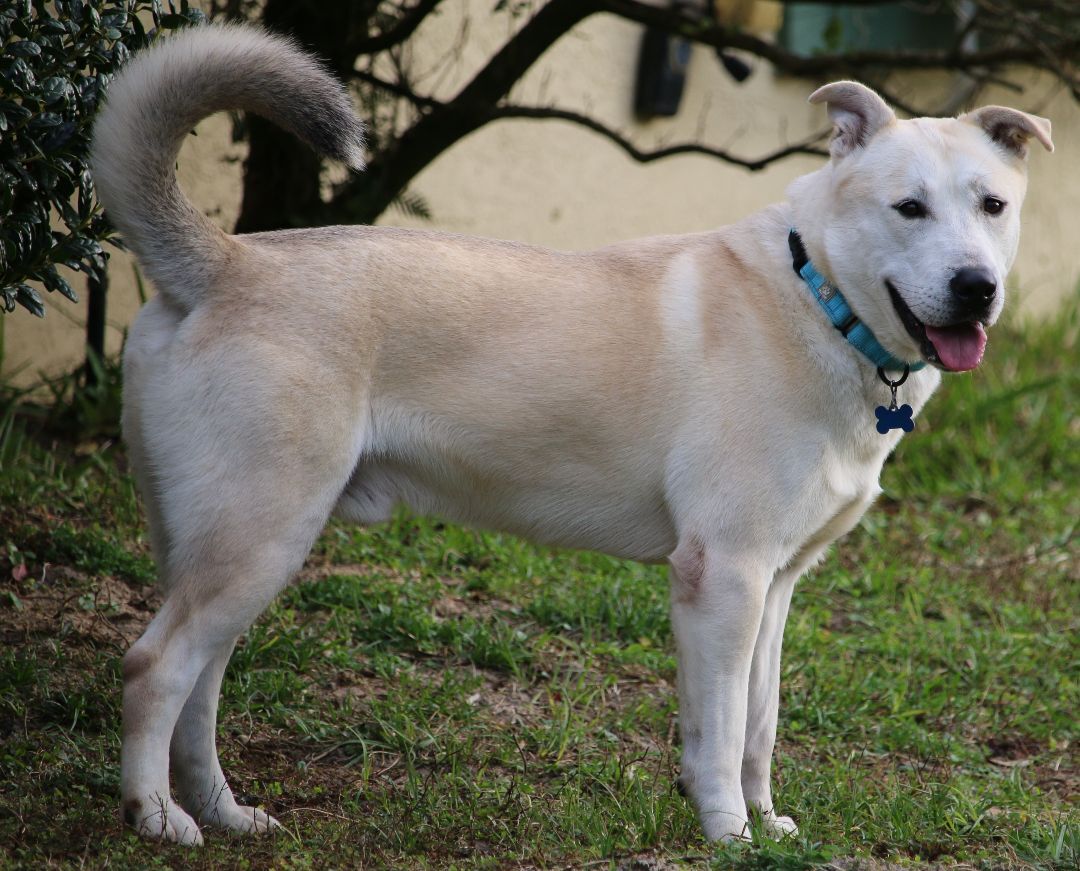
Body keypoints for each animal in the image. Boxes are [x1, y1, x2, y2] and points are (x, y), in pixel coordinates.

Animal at [88, 23, 1049, 847]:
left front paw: (764, 823)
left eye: (994, 205)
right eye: (908, 208)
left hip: (228, 546)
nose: (977, 288)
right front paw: (728, 834)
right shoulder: (723, 576)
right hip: (260, 537)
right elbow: (721, 730)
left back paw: (224, 812)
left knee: (199, 687)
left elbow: (756, 725)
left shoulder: (773, 588)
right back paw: (156, 816)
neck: (817, 297)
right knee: (153, 667)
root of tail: (226, 262)